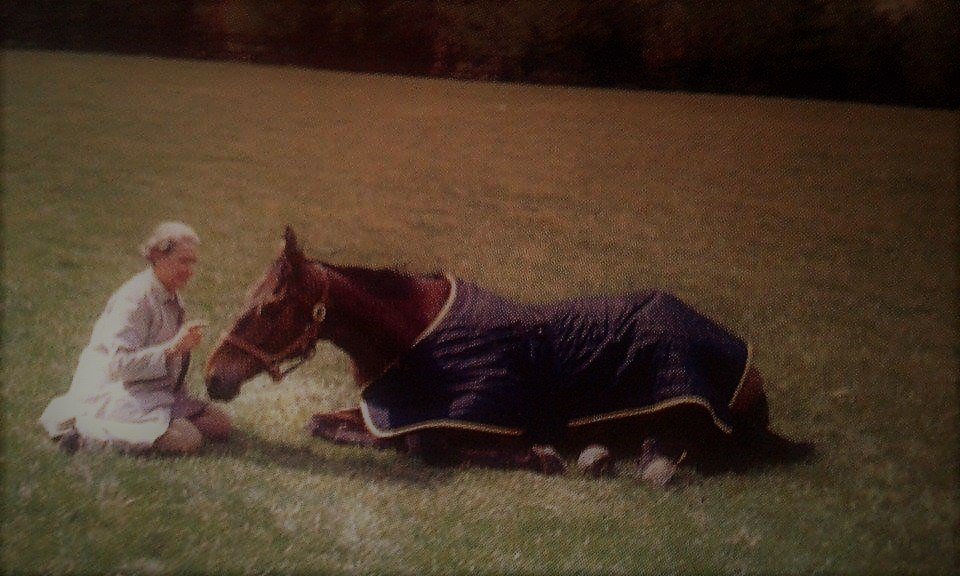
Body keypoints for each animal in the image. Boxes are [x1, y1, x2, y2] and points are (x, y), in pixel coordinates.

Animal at [204, 227, 808, 484]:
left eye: (269, 307)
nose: (212, 379)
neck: (415, 336)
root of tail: (748, 371)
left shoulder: (461, 416)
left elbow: (424, 448)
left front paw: (541, 455)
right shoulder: (391, 409)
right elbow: (327, 423)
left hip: (682, 407)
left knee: (688, 448)